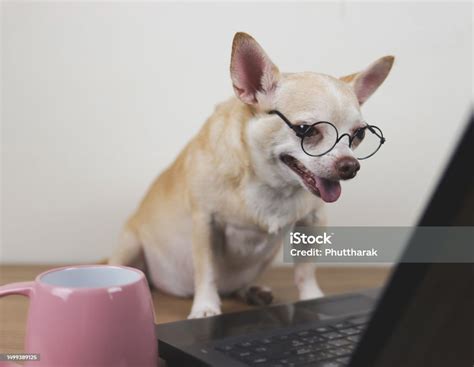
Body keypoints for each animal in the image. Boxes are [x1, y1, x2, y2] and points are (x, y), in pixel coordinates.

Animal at [109, 32, 394, 320]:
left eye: (359, 134)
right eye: (306, 130)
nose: (350, 165)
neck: (272, 184)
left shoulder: (312, 221)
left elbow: (305, 270)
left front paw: (312, 298)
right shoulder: (205, 223)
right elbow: (207, 271)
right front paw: (205, 307)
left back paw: (252, 291)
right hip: (130, 245)